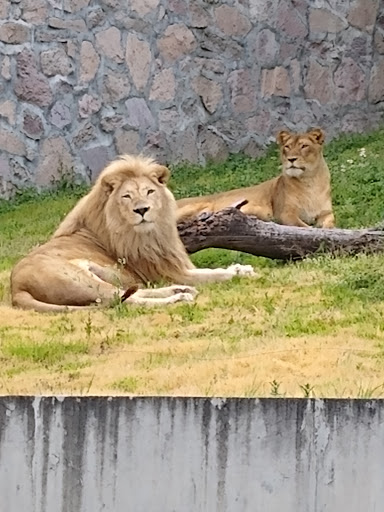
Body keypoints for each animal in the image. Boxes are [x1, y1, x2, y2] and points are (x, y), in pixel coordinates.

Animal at [9, 154, 255, 312]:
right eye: (127, 196)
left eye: (149, 191)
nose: (142, 210)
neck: (150, 234)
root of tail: (15, 288)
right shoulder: (164, 271)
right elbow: (213, 275)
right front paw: (239, 274)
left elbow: (211, 270)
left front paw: (240, 268)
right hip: (80, 279)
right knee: (123, 301)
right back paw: (178, 297)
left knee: (129, 293)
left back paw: (181, 290)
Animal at [176, 129, 334, 229]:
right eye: (287, 147)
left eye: (304, 146)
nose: (291, 159)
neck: (309, 182)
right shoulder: (284, 214)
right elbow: (304, 226)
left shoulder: (327, 213)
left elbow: (330, 224)